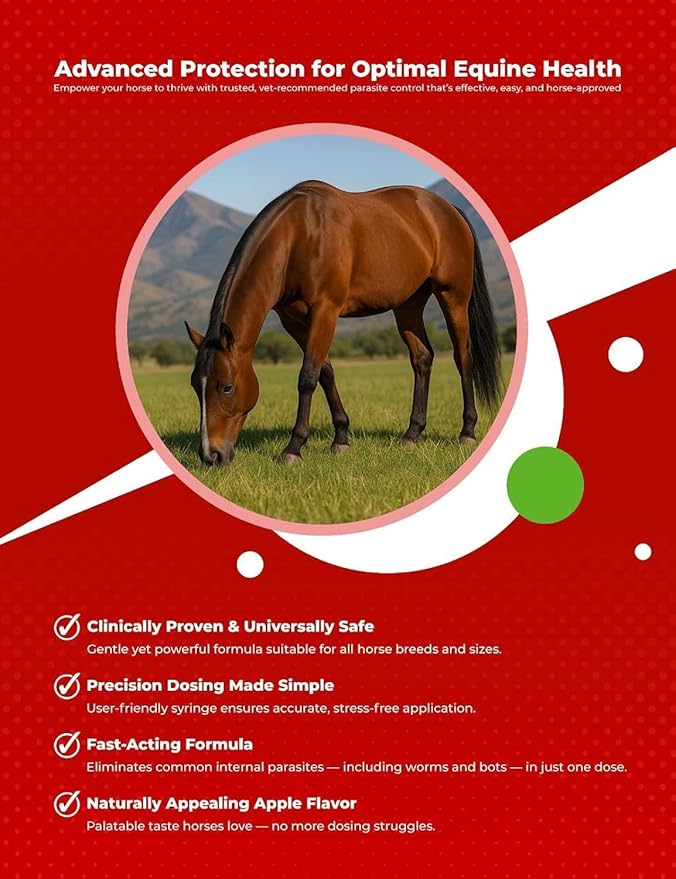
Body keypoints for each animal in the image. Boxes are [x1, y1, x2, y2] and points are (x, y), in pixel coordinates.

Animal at [185, 180, 502, 465]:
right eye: (195, 385)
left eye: (226, 387)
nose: (211, 455)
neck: (298, 236)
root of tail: (449, 210)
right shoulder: (293, 319)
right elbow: (325, 372)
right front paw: (341, 438)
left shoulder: (326, 310)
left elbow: (308, 376)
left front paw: (294, 447)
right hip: (408, 305)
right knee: (422, 358)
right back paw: (411, 434)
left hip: (453, 297)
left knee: (463, 357)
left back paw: (467, 431)